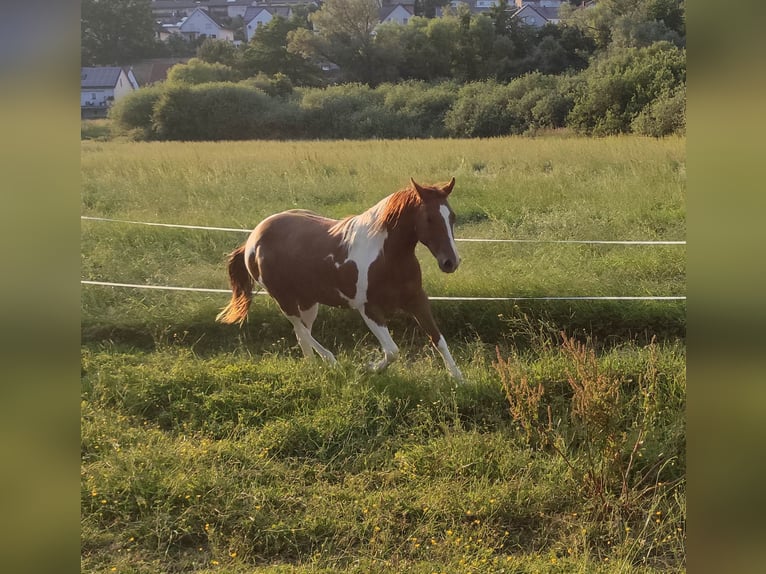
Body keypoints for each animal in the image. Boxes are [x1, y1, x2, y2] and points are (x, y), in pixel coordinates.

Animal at [219, 176, 464, 382]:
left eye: (452, 216)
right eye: (429, 218)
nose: (451, 262)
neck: (387, 256)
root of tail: (253, 238)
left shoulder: (417, 300)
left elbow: (438, 339)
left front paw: (459, 380)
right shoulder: (369, 309)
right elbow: (392, 351)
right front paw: (368, 368)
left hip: (308, 302)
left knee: (302, 335)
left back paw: (314, 367)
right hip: (284, 299)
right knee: (301, 330)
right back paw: (332, 362)